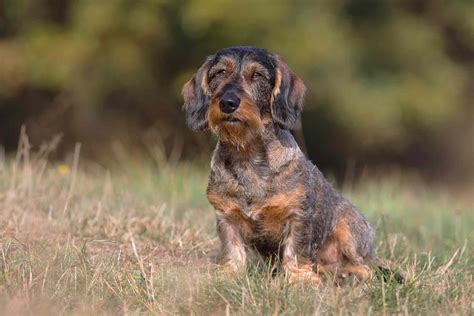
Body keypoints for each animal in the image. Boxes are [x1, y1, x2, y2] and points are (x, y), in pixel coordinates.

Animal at [183, 46, 376, 284]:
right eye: (220, 72)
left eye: (258, 75)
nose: (228, 103)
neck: (247, 155)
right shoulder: (225, 216)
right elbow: (232, 248)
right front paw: (230, 273)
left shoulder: (298, 215)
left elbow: (296, 249)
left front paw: (300, 279)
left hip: (347, 228)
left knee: (365, 267)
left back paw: (347, 273)